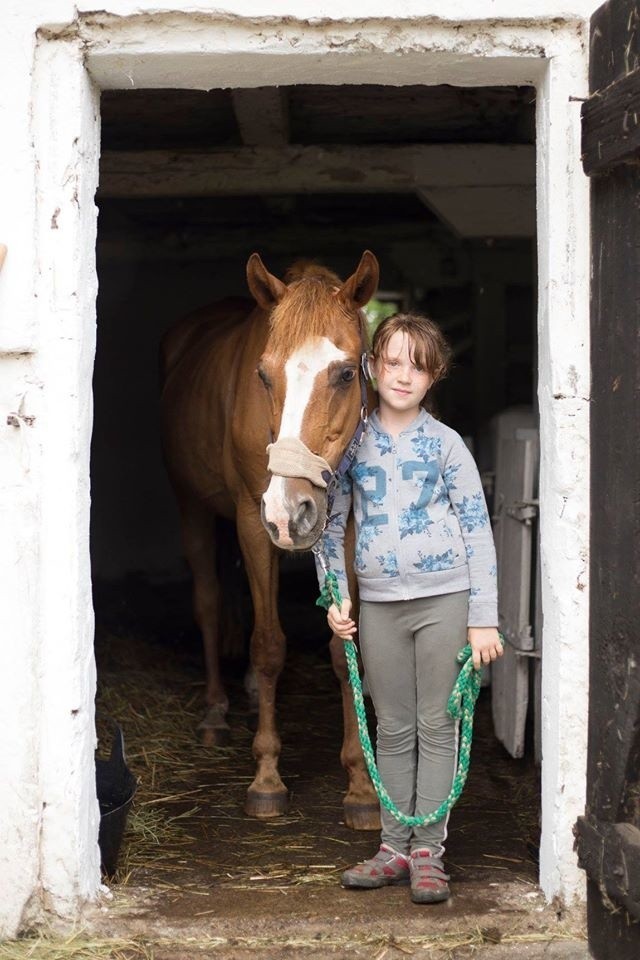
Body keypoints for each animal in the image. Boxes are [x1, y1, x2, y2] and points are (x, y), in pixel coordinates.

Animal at [160, 251, 380, 828]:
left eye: (345, 373)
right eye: (263, 374)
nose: (290, 511)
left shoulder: (346, 527)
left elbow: (342, 650)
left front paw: (361, 786)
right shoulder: (251, 521)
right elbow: (267, 646)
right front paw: (266, 779)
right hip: (193, 507)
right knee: (208, 601)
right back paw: (215, 712)